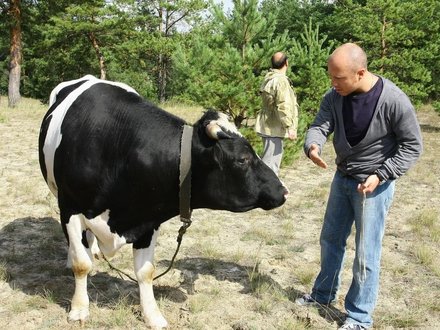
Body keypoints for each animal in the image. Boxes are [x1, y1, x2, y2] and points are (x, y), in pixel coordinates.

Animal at [38, 75, 288, 328]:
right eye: (242, 159)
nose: (283, 190)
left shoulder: (148, 218)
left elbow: (146, 271)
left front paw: (153, 315)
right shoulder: (70, 208)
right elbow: (82, 264)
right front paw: (79, 309)